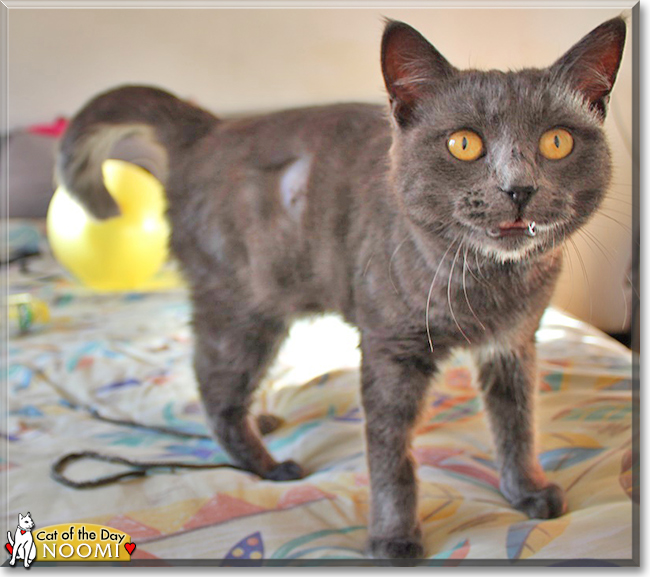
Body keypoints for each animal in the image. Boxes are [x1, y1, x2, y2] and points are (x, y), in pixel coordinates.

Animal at [55, 16, 624, 560]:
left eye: (557, 141)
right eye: (464, 144)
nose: (518, 188)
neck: (488, 284)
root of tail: (210, 127)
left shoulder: (514, 345)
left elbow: (517, 424)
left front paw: (526, 490)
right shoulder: (391, 350)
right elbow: (392, 455)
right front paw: (394, 537)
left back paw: (264, 420)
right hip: (243, 309)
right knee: (215, 391)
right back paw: (269, 465)